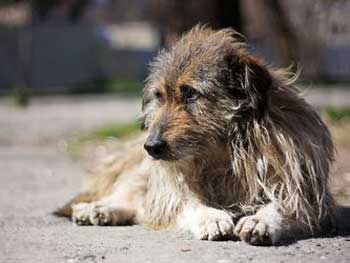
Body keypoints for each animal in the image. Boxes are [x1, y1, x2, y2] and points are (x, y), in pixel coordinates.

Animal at [54, 25, 336, 246]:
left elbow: (285, 205)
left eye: (190, 94)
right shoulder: (171, 185)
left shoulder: (305, 191)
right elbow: (185, 202)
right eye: (159, 96)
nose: (151, 146)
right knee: (133, 195)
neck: (224, 154)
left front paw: (260, 220)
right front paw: (210, 217)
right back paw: (98, 208)